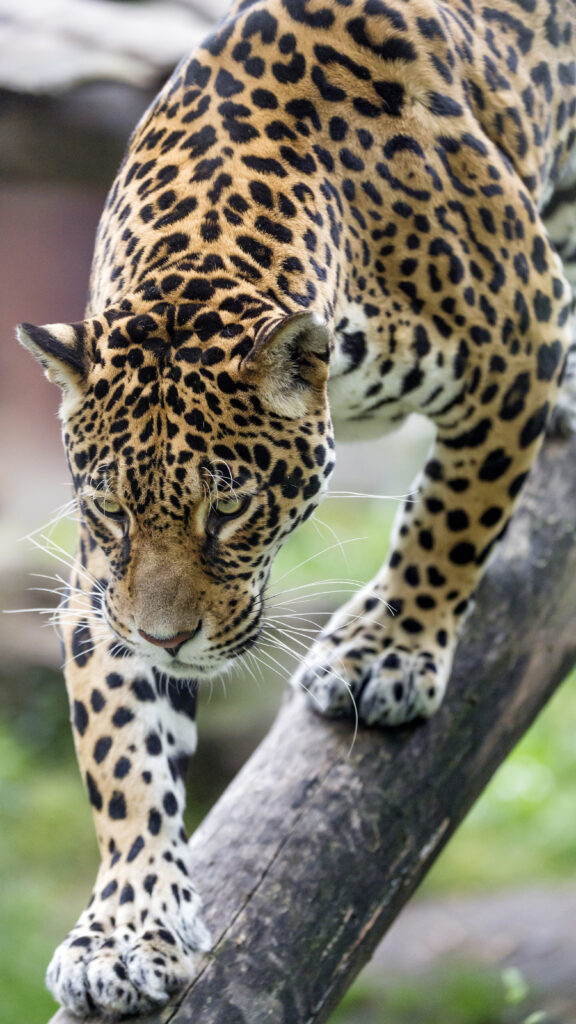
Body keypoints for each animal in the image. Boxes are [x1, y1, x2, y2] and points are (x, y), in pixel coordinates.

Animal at [17, 0, 576, 1015]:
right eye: (112, 512)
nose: (170, 641)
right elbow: (122, 752)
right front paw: (124, 928)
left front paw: (385, 652)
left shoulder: (522, 335)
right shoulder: (100, 584)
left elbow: (453, 515)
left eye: (230, 509)